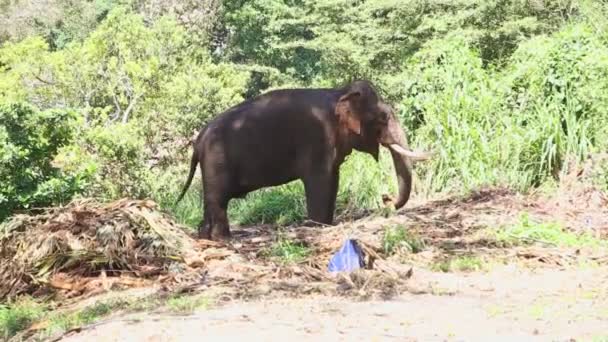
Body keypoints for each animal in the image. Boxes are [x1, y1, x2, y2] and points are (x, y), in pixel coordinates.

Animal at [176, 80, 432, 240]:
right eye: (383, 118)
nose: (385, 199)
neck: (339, 92)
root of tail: (198, 139)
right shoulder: (317, 138)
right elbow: (320, 181)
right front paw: (317, 225)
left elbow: (333, 179)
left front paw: (327, 224)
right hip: (216, 160)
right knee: (218, 200)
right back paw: (223, 239)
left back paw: (205, 235)